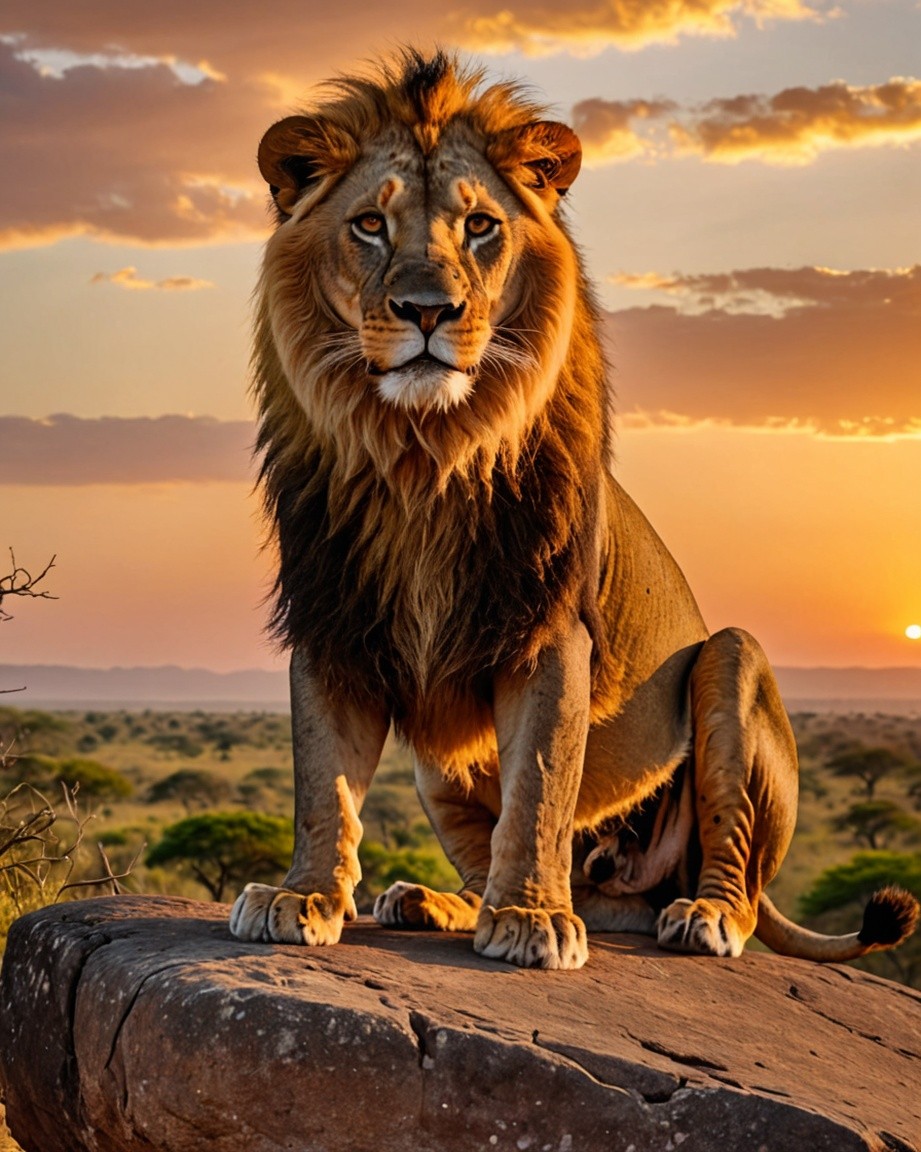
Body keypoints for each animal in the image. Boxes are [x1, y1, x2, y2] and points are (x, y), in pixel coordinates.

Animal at [230, 50, 919, 970]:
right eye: (370, 225)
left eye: (479, 226)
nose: (426, 310)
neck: (424, 454)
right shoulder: (331, 615)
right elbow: (322, 782)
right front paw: (302, 895)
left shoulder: (549, 628)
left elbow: (540, 786)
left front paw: (530, 918)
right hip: (437, 767)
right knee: (498, 859)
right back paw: (434, 900)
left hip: (730, 663)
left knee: (727, 861)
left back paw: (697, 916)